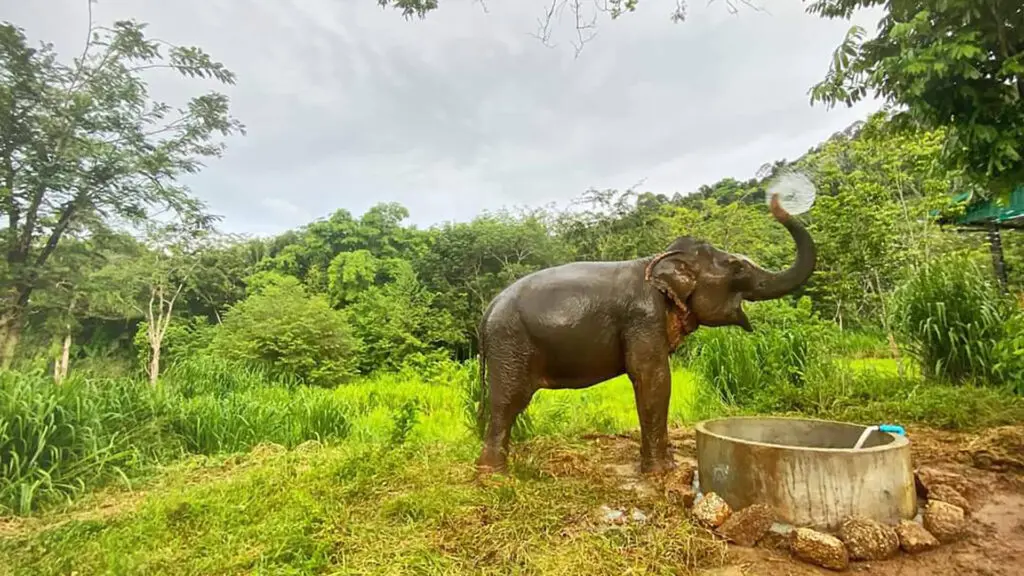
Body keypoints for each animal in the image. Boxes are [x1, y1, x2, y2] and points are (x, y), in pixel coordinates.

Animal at [471, 192, 815, 471]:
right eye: (738, 267)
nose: (776, 199)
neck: (661, 259)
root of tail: (490, 308)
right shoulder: (644, 317)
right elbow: (653, 377)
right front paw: (661, 471)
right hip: (511, 343)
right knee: (508, 401)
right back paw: (495, 475)